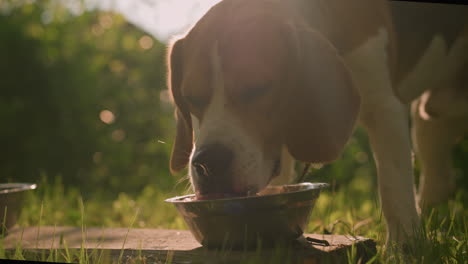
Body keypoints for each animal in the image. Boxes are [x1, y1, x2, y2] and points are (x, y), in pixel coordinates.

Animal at [167, 0, 468, 244]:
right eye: (190, 97)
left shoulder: (384, 107)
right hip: (429, 121)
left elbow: (393, 191)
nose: (208, 163)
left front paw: (402, 250)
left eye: (257, 88)